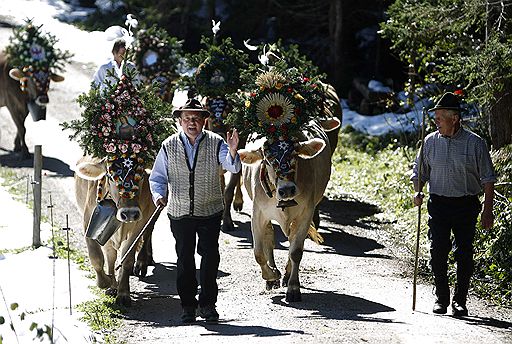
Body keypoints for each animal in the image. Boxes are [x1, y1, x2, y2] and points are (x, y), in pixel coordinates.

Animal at [73, 155, 154, 306]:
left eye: (140, 176)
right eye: (111, 177)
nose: (129, 213)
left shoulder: (138, 226)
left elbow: (127, 259)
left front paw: (123, 293)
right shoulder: (89, 222)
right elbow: (98, 257)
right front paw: (108, 282)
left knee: (148, 232)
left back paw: (142, 262)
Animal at [239, 120, 336, 300]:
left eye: (295, 155)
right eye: (268, 159)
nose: (287, 190)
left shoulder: (306, 213)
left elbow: (296, 251)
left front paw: (293, 288)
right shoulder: (258, 214)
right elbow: (258, 252)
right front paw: (271, 276)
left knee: (292, 241)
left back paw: (286, 275)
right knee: (269, 237)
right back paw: (274, 278)